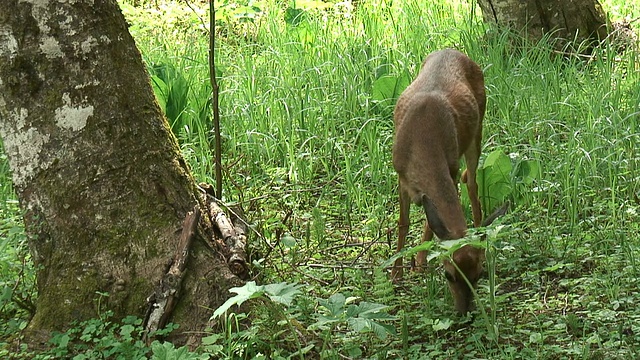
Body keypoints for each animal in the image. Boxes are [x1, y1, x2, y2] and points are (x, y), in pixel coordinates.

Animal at [390, 49, 490, 314]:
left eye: (479, 275)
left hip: (478, 128)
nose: (466, 312)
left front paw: (418, 261)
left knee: (472, 184)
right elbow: (403, 223)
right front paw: (396, 275)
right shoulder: (400, 175)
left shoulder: (451, 168)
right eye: (449, 275)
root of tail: (453, 50)